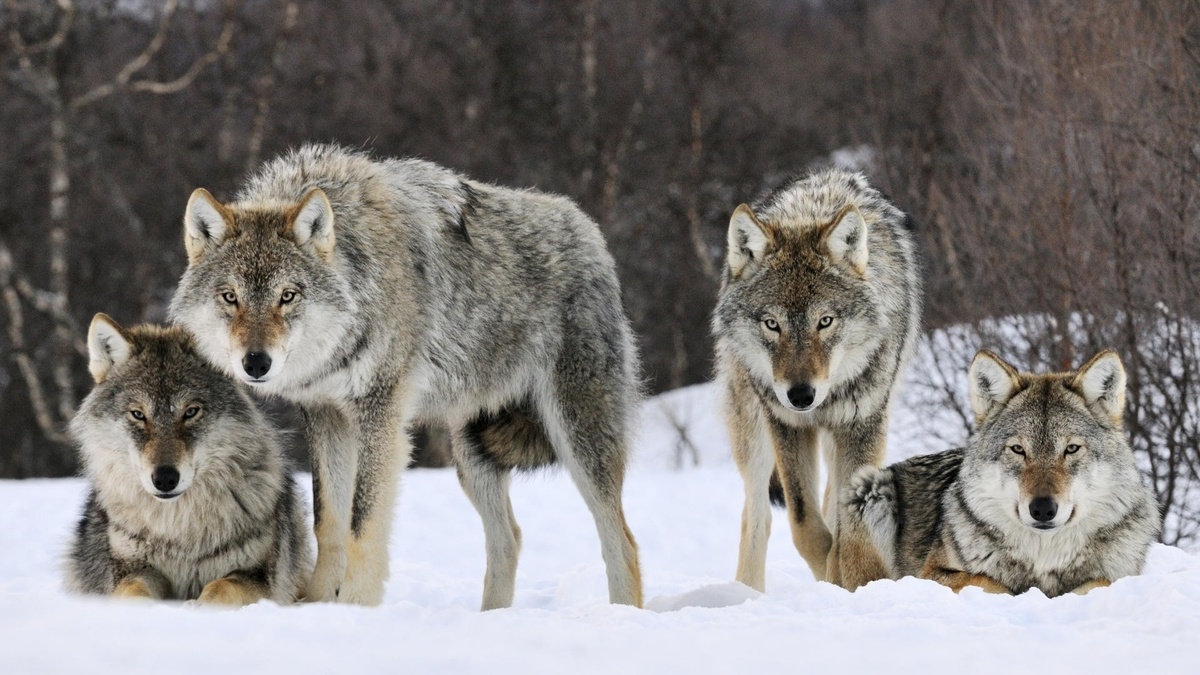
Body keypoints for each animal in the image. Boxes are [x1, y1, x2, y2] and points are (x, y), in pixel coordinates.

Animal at [66, 314, 312, 605]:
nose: (165, 479)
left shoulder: (257, 577)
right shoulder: (132, 569)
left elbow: (221, 587)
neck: (179, 530)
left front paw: (199, 607)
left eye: (191, 412)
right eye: (138, 414)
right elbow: (133, 591)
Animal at [170, 144, 643, 607]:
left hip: (577, 439)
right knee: (509, 537)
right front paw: (318, 604)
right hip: (472, 454)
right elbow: (328, 521)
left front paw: (355, 606)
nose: (256, 363)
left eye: (287, 296)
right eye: (230, 297)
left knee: (622, 541)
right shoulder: (326, 415)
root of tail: (590, 231)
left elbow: (362, 523)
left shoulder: (380, 414)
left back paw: (621, 614)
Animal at [710, 169, 916, 588]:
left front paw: (847, 579)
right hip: (753, 431)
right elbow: (805, 526)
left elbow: (845, 526)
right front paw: (830, 578)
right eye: (772, 324)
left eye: (825, 321)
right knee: (756, 514)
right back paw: (746, 592)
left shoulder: (863, 425)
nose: (801, 395)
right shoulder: (787, 424)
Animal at [844, 348, 1161, 590]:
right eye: (1018, 450)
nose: (1042, 509)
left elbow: (1099, 582)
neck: (1044, 558)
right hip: (869, 487)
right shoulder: (931, 574)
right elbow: (990, 581)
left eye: (1071, 449)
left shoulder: (1118, 575)